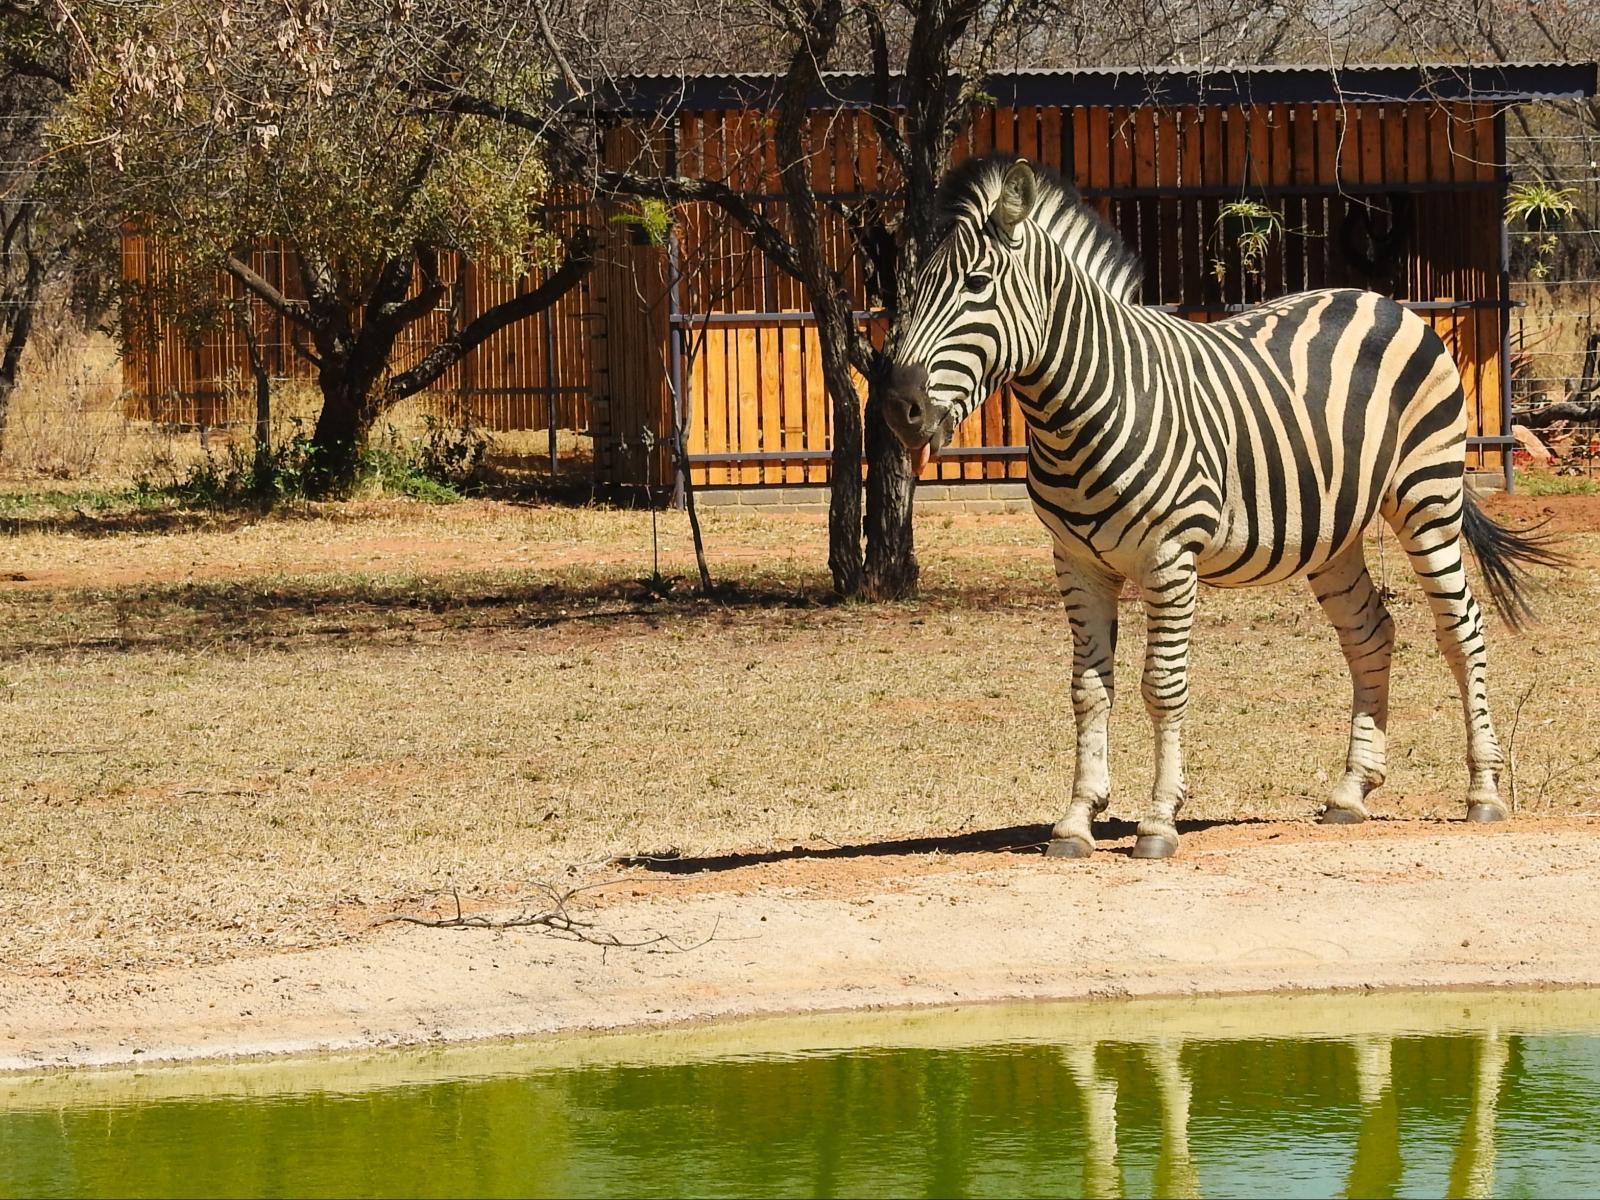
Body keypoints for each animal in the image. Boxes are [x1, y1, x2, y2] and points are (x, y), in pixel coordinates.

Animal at [883, 152, 1555, 864]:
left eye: (977, 283)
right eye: (910, 288)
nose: (900, 409)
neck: (1083, 405)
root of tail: (1380, 299)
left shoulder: (1169, 557)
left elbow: (1161, 685)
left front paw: (1157, 821)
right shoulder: (1076, 562)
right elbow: (1088, 690)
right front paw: (1076, 820)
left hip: (1427, 495)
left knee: (1462, 629)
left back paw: (1483, 792)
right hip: (1334, 531)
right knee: (1370, 632)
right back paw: (1350, 792)